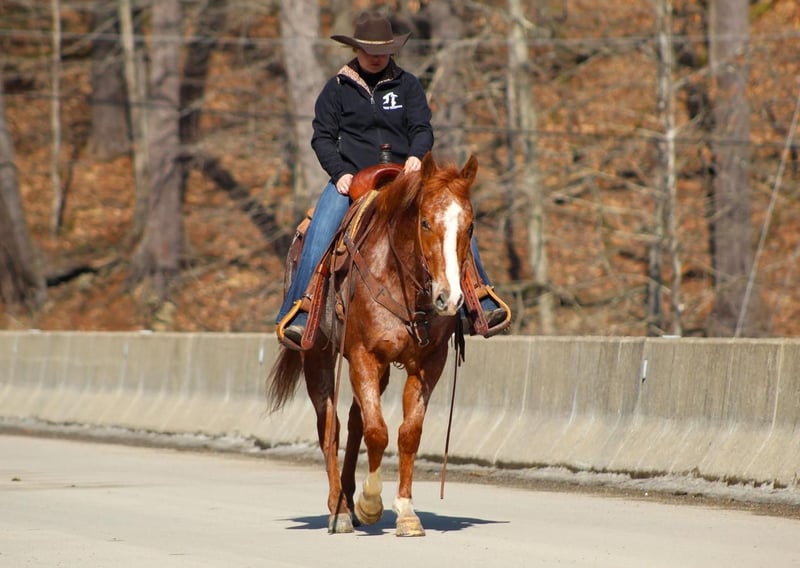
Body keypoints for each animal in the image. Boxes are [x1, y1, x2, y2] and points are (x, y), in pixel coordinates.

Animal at [268, 153, 482, 536]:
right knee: (331, 428)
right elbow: (377, 432)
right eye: (425, 222)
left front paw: (406, 513)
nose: (450, 298)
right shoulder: (363, 356)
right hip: (318, 357)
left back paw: (348, 501)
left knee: (354, 423)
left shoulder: (429, 363)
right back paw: (339, 510)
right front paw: (370, 503)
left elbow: (408, 433)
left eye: (469, 227)